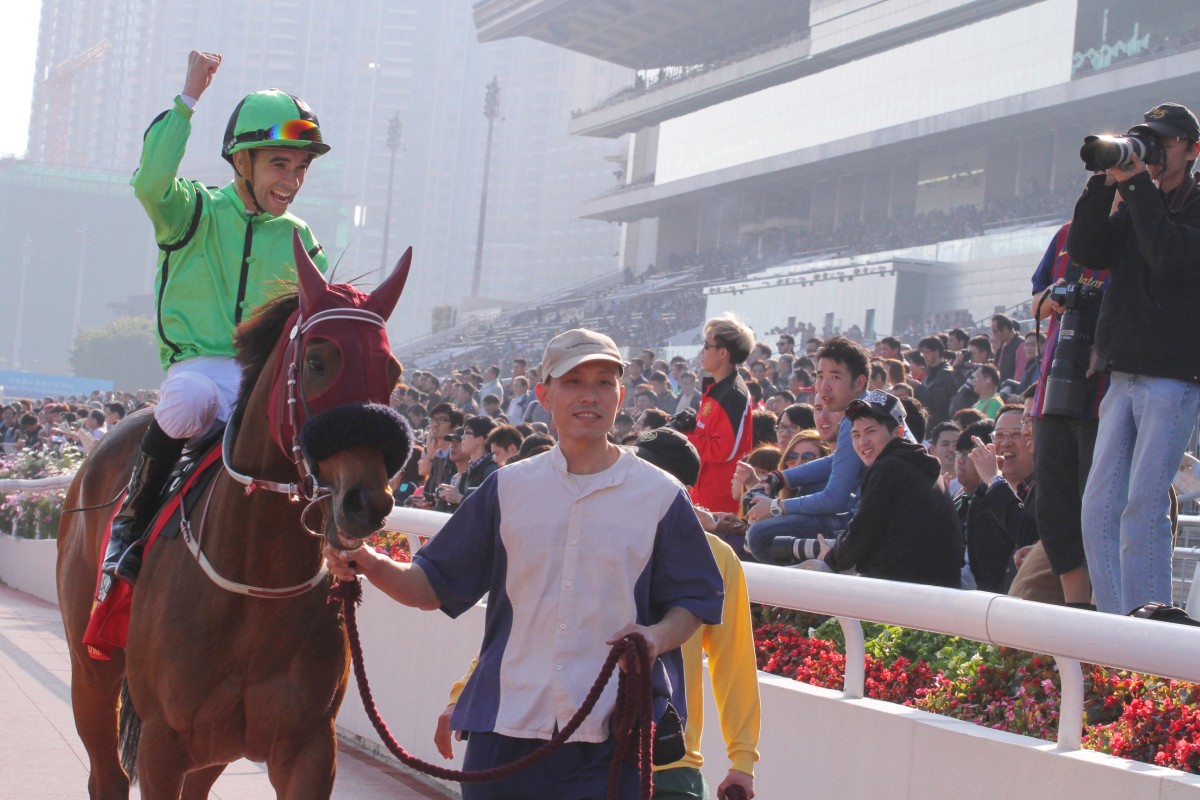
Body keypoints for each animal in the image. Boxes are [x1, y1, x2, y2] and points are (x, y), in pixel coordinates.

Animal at [58, 232, 415, 800]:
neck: (256, 585)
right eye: (317, 360)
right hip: (90, 668)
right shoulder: (163, 740)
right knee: (106, 776)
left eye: (391, 370)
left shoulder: (309, 746)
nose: (367, 501)